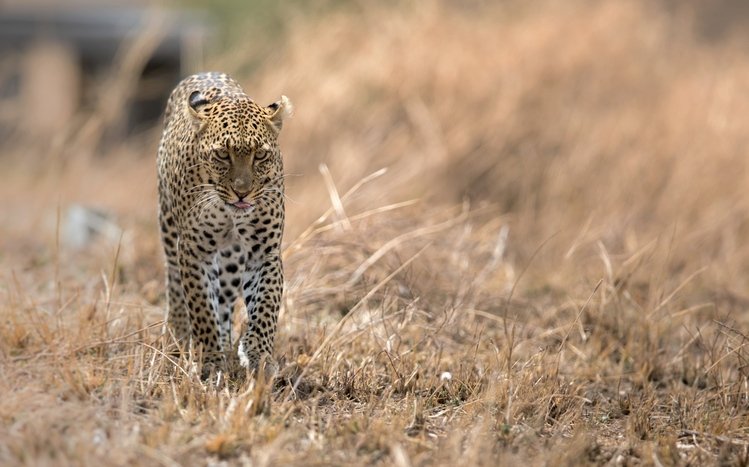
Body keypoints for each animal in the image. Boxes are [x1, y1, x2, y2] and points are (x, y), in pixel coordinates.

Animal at [156, 71, 292, 378]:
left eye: (260, 155)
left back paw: (228, 344)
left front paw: (258, 354)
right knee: (175, 285)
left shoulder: (264, 251)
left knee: (225, 300)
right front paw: (208, 362)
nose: (242, 192)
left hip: (231, 262)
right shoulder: (193, 251)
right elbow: (201, 308)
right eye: (222, 155)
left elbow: (266, 305)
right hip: (168, 229)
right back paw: (178, 337)